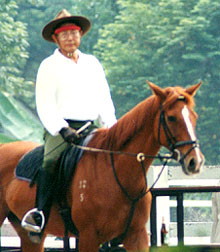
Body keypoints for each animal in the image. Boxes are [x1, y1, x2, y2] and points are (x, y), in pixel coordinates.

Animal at [0, 81, 205, 251]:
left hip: (31, 236)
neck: (116, 174)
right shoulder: (88, 237)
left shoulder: (136, 236)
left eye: (194, 116)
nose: (195, 161)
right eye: (171, 118)